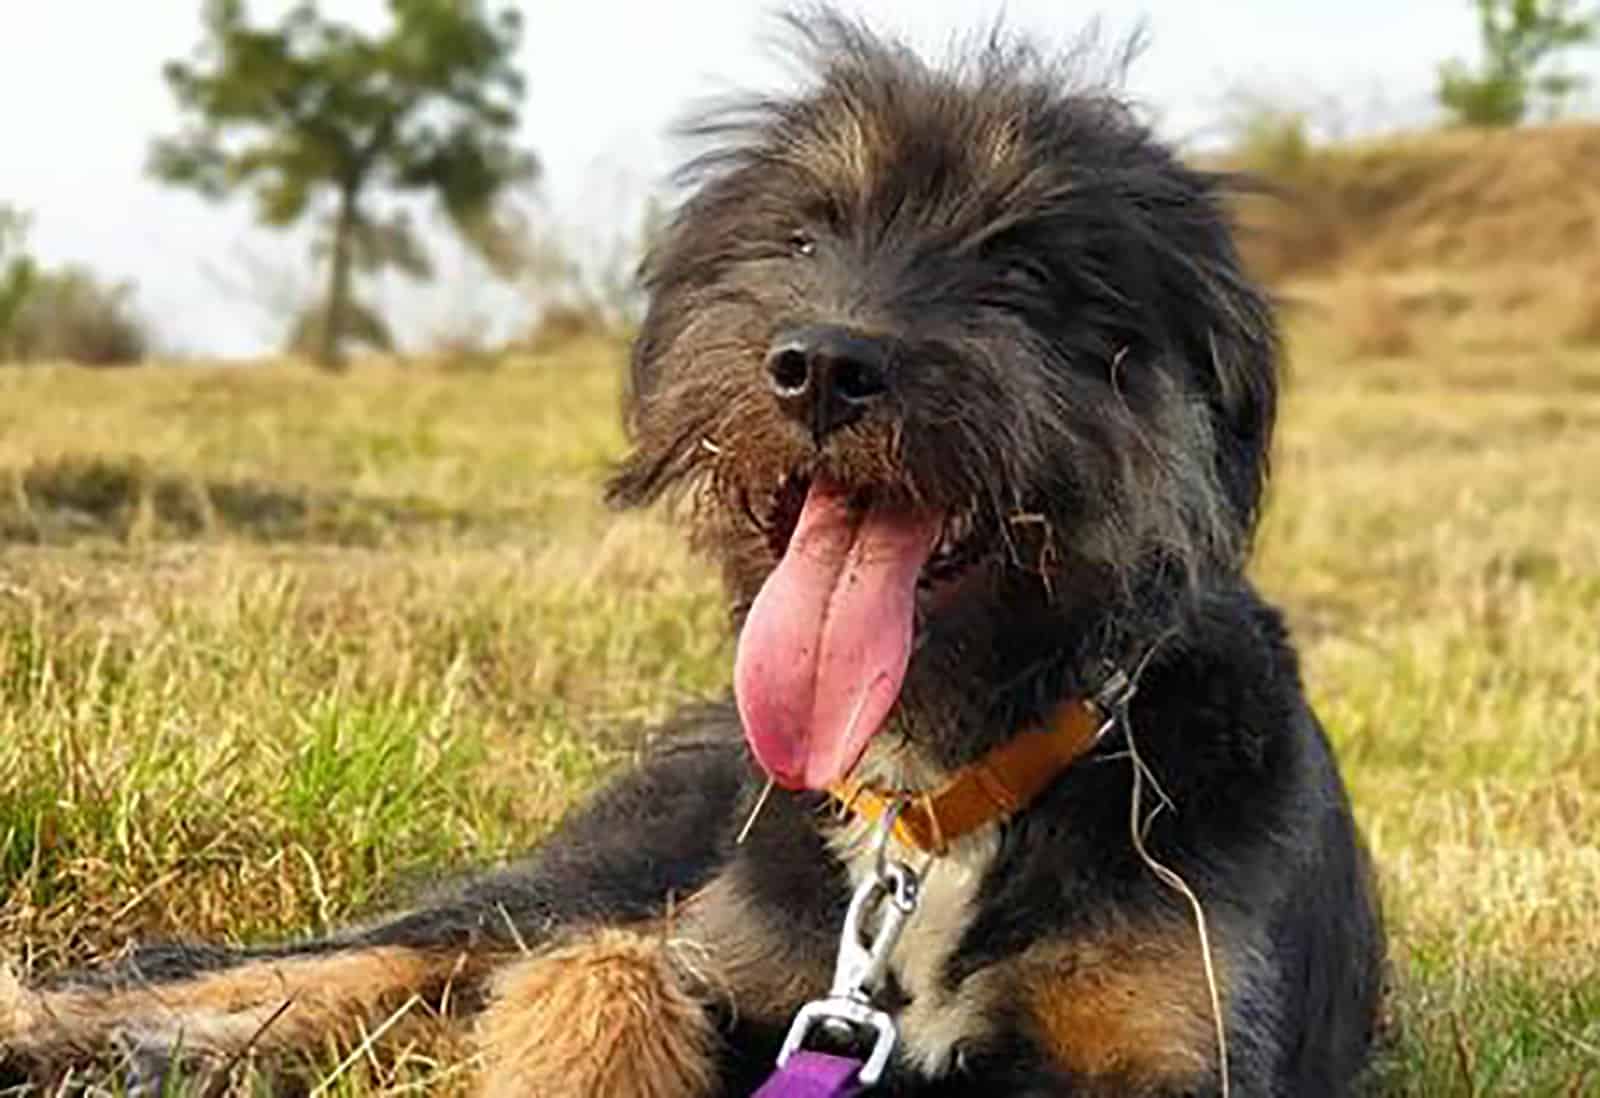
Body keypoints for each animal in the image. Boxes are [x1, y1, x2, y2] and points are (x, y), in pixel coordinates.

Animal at [0, 10, 1382, 1098]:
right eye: (805, 237)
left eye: (1027, 271)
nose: (821, 365)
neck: (940, 798)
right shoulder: (742, 970)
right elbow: (601, 988)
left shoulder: (1168, 1046)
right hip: (598, 873)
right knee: (351, 957)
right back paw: (63, 1025)